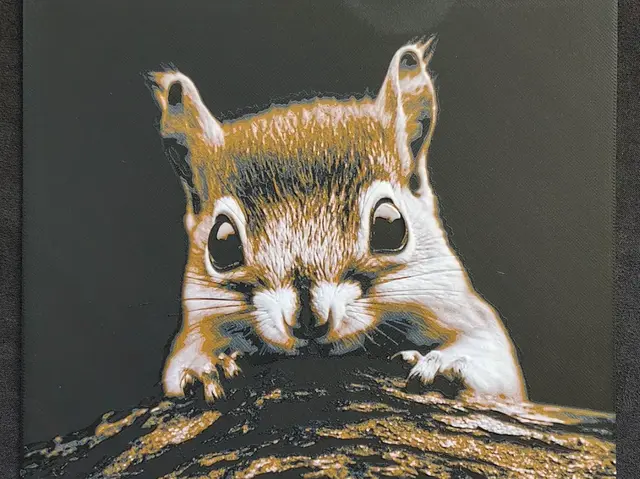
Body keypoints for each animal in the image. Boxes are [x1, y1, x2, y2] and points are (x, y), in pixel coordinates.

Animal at [146, 38, 527, 404]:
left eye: (390, 226)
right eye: (221, 244)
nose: (306, 320)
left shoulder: (464, 312)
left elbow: (491, 357)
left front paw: (445, 363)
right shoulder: (197, 327)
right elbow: (185, 357)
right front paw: (204, 368)